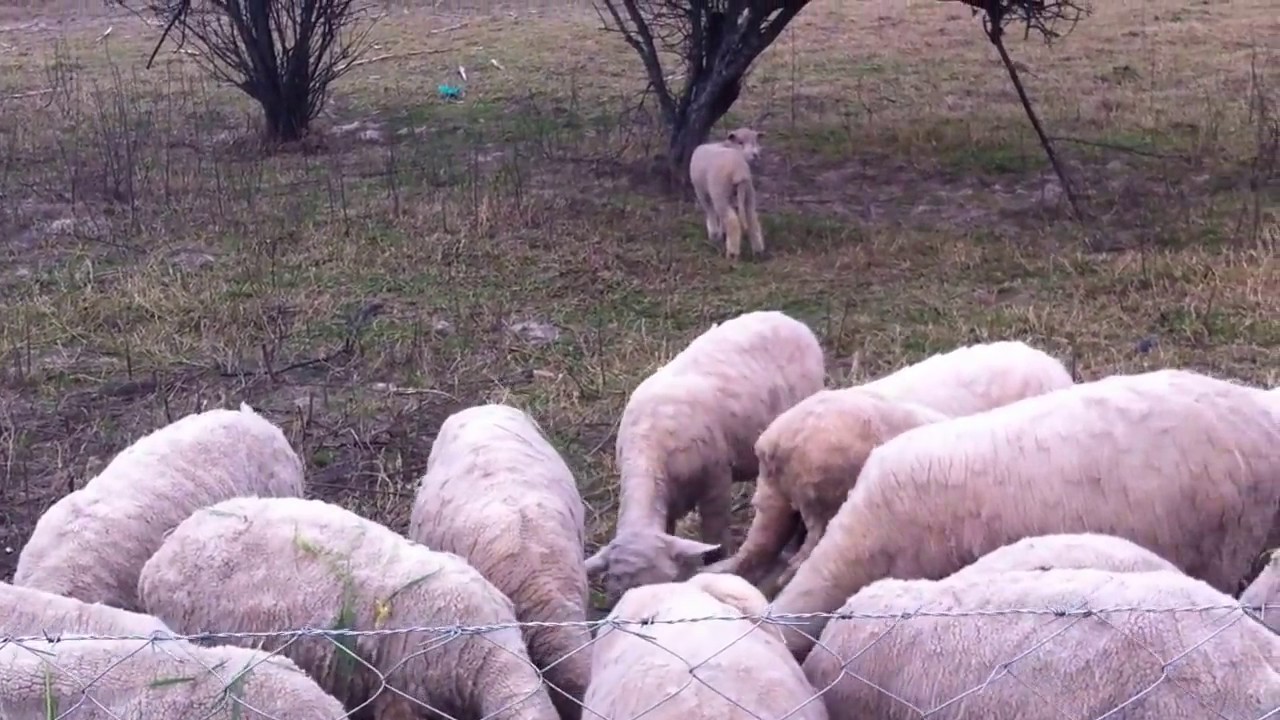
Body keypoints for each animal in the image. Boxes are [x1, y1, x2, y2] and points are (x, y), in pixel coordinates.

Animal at [689, 128, 765, 261]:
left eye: (755, 141)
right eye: (740, 142)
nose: (755, 154)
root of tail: (739, 171)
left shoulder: (702, 192)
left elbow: (710, 211)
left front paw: (714, 234)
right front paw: (721, 233)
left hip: (719, 193)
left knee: (731, 220)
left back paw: (732, 253)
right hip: (748, 192)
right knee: (751, 217)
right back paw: (758, 251)